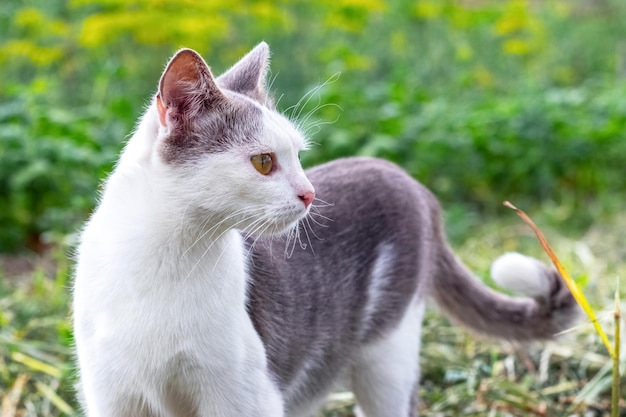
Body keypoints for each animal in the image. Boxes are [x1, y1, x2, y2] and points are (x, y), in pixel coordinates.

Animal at [72, 42, 576, 416]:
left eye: (298, 155)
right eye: (263, 161)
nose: (310, 193)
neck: (163, 259)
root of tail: (409, 180)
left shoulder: (245, 396)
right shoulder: (110, 392)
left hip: (386, 357)